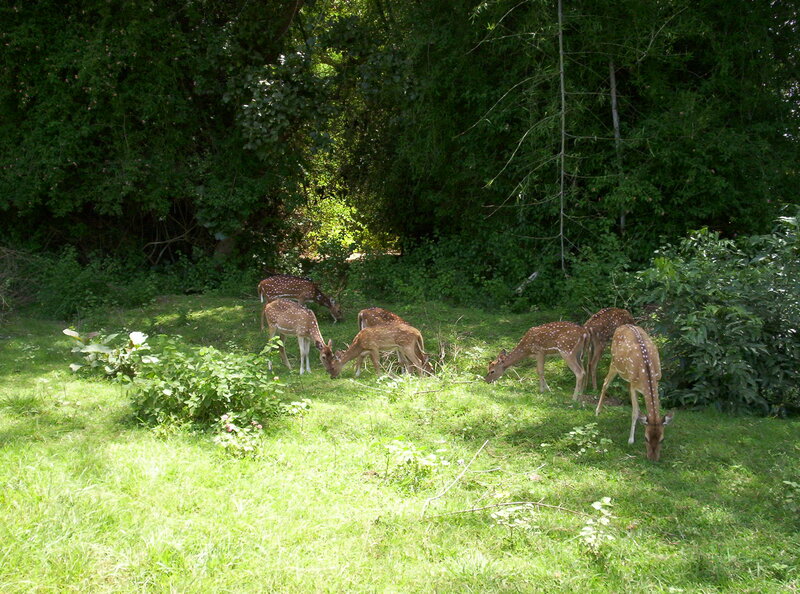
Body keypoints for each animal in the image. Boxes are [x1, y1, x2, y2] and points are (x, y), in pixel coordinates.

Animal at [595, 324, 674, 461]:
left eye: (662, 439)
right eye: (646, 438)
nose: (653, 459)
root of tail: (623, 325)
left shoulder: (657, 381)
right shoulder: (633, 385)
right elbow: (635, 413)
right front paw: (631, 440)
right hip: (614, 363)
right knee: (605, 383)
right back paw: (597, 411)